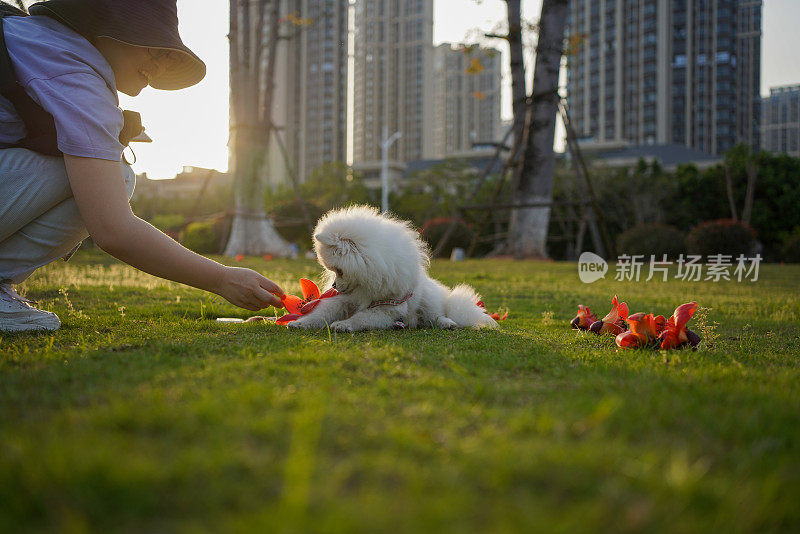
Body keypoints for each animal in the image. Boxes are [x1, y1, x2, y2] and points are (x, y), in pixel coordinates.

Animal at [290, 207, 496, 332]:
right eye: (332, 270)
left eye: (339, 270)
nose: (334, 286)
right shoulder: (342, 300)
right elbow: (320, 313)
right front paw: (300, 323)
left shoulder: (387, 308)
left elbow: (361, 318)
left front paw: (343, 324)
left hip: (428, 299)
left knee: (434, 316)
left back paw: (447, 323)